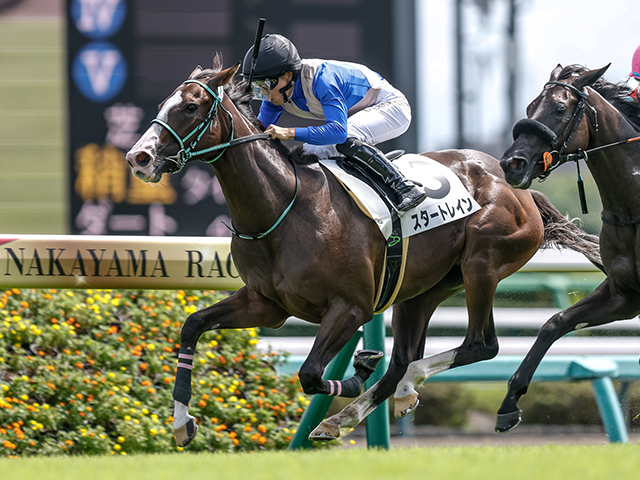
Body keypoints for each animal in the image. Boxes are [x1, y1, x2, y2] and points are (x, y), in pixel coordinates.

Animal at [125, 55, 602, 447]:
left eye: (190, 106)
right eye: (165, 103)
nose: (138, 158)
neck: (283, 207)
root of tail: (517, 185)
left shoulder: (350, 306)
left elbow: (310, 373)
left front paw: (358, 370)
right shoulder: (265, 304)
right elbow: (191, 326)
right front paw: (181, 424)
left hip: (480, 265)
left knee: (480, 345)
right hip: (423, 289)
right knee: (404, 360)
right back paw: (366, 408)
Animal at [498, 63, 640, 433]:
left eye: (560, 109)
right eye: (530, 107)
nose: (512, 164)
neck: (632, 209)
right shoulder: (624, 295)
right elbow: (555, 322)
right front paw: (509, 403)